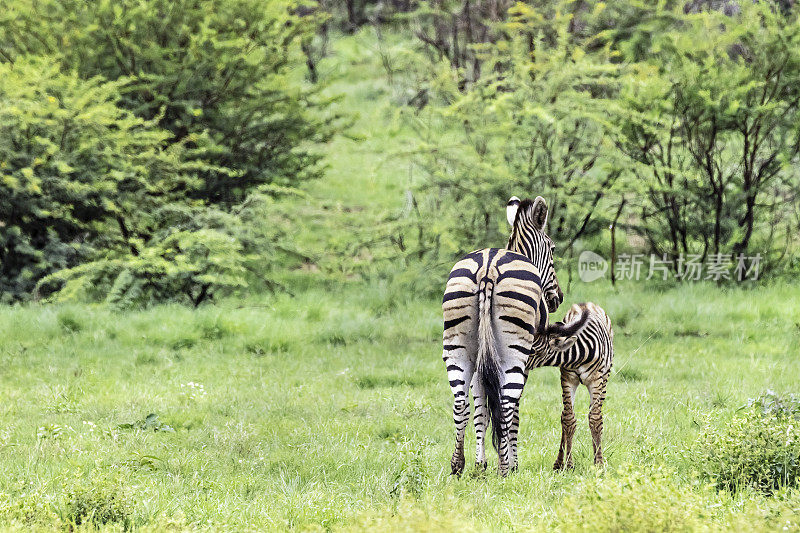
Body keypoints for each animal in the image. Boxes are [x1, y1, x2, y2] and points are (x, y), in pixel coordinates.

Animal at [528, 302, 616, 468]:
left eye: (534, 351)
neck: (578, 356)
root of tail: (587, 304)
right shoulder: (567, 378)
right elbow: (568, 419)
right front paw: (568, 464)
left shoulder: (596, 380)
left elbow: (595, 419)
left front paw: (599, 463)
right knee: (565, 415)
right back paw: (558, 462)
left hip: (604, 379)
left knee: (596, 412)